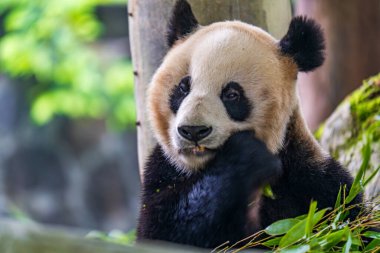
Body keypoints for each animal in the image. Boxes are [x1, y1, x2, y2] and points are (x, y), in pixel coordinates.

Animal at [137, 0, 362, 249]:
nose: (193, 131)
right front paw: (246, 157)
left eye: (232, 94)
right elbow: (166, 228)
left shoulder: (315, 180)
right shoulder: (162, 173)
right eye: (183, 88)